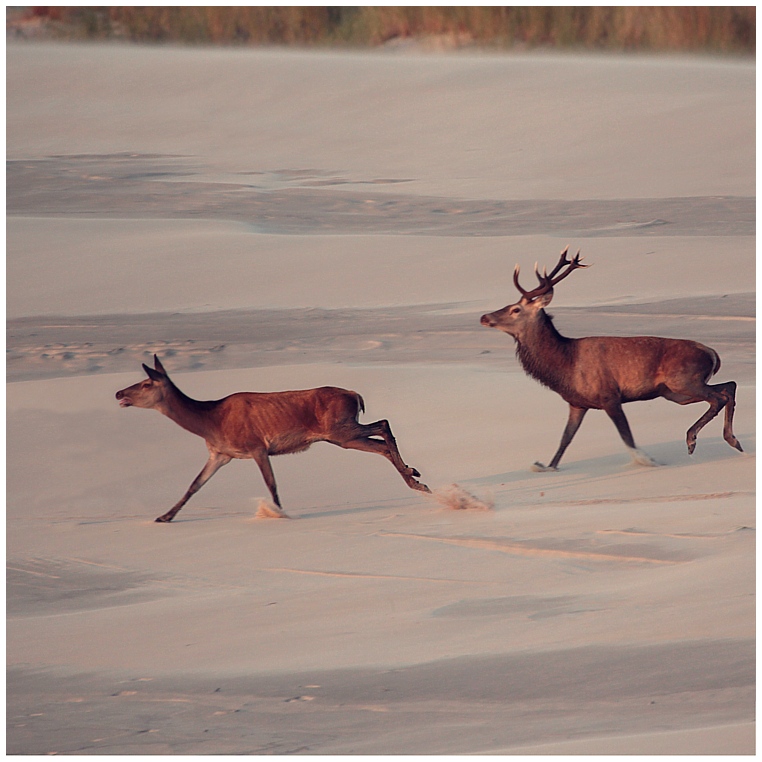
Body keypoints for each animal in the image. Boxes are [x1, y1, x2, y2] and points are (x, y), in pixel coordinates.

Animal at [116, 354, 430, 520]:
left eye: (146, 383)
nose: (119, 393)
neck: (211, 421)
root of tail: (356, 395)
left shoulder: (256, 446)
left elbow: (271, 483)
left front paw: (280, 514)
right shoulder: (220, 454)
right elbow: (194, 485)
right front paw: (164, 516)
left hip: (340, 430)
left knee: (383, 427)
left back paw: (416, 479)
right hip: (340, 433)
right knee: (381, 438)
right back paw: (414, 475)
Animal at [478, 246, 740, 470]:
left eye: (515, 309)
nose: (484, 317)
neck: (566, 364)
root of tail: (713, 354)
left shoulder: (609, 396)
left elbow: (627, 437)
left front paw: (649, 461)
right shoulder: (577, 403)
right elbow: (565, 439)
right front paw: (547, 466)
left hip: (683, 380)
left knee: (718, 397)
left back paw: (692, 440)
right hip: (675, 392)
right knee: (728, 387)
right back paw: (732, 440)